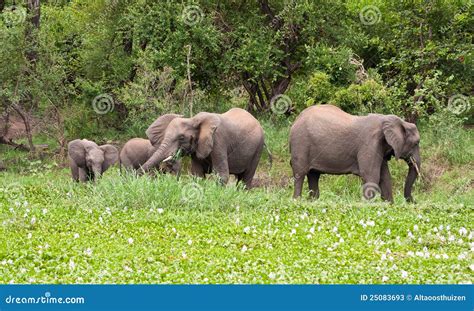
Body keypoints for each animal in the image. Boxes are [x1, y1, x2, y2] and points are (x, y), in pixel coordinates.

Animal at [288, 105, 422, 202]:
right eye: (416, 143)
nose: (413, 202)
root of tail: (296, 119)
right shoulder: (369, 143)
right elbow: (371, 176)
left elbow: (385, 177)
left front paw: (388, 206)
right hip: (300, 143)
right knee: (300, 174)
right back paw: (297, 201)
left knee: (313, 175)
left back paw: (313, 201)